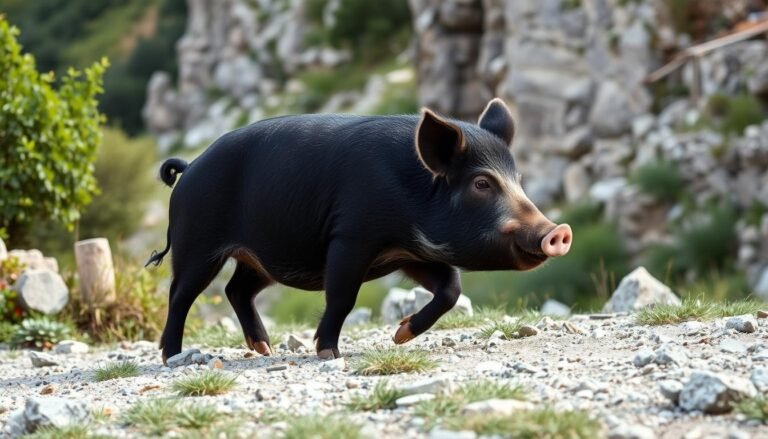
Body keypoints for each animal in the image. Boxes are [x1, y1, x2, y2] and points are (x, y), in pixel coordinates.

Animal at [148, 99, 568, 364]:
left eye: (519, 180)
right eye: (482, 183)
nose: (559, 231)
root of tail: (190, 166)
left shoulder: (410, 251)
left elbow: (451, 289)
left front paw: (400, 336)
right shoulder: (351, 237)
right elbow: (342, 297)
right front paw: (328, 354)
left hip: (259, 258)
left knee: (237, 289)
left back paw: (265, 350)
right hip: (196, 243)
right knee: (180, 295)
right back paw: (173, 357)